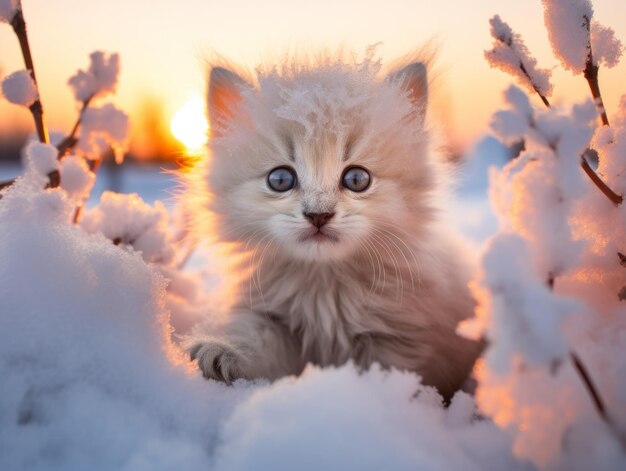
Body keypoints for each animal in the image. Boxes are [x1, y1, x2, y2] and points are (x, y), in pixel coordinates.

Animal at [185, 53, 478, 400]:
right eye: (280, 179)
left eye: (357, 179)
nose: (318, 215)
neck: (324, 288)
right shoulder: (270, 316)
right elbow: (258, 344)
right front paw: (224, 354)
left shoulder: (398, 339)